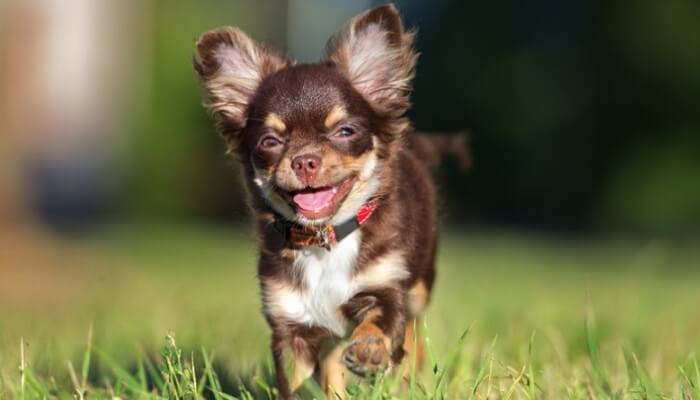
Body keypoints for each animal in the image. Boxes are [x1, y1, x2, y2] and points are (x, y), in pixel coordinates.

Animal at [194, 4, 464, 398]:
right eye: (270, 142)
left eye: (345, 132)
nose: (305, 160)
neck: (325, 239)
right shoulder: (290, 324)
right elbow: (299, 382)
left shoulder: (385, 288)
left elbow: (382, 323)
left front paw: (371, 350)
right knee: (335, 356)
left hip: (419, 285)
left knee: (413, 330)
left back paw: (409, 375)